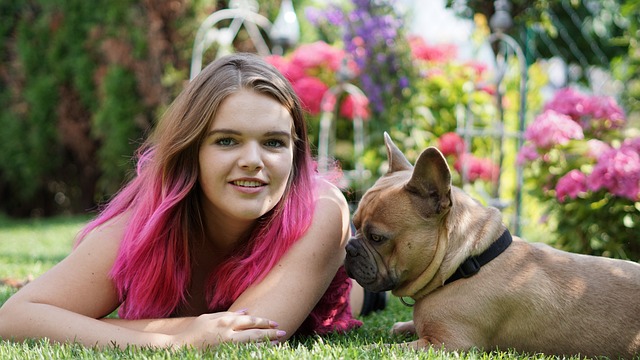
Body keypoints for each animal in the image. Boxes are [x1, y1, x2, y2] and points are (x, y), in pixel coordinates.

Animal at [344, 134, 640, 358]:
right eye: (354, 225)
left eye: (377, 238)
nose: (349, 248)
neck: (467, 262)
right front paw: (402, 325)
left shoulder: (447, 344)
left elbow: (384, 348)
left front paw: (367, 347)